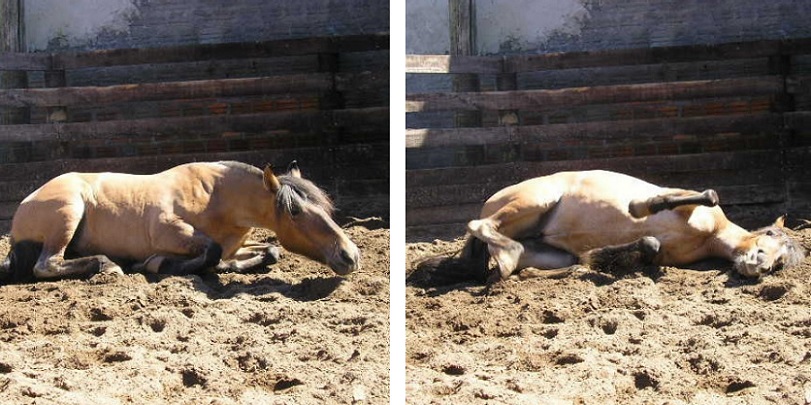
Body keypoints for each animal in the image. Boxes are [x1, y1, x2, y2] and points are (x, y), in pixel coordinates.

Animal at [0, 159, 362, 282]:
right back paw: (108, 265)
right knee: (46, 265)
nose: (350, 256)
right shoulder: (170, 232)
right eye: (295, 212)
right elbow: (209, 252)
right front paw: (156, 264)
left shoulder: (236, 245)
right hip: (68, 211)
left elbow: (270, 251)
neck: (216, 197)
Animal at [412, 169, 804, 286]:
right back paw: (506, 255)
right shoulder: (686, 200)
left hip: (550, 254)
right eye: (771, 235)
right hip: (536, 199)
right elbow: (703, 194)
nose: (760, 265)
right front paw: (638, 207)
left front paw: (600, 257)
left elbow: (649, 246)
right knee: (480, 223)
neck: (711, 235)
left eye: (782, 262)